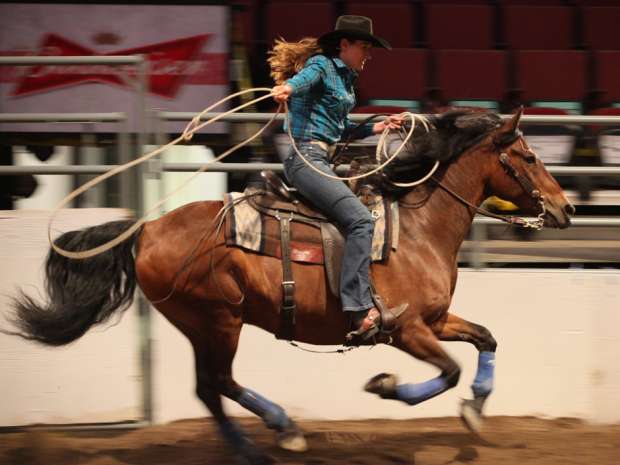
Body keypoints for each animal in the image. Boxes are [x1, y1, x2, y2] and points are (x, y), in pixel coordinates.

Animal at [8, 108, 572, 460]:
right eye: (528, 157)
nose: (565, 208)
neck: (417, 228)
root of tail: (147, 228)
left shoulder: (435, 320)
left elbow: (486, 338)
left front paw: (475, 411)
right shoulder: (405, 328)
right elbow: (448, 371)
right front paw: (385, 386)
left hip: (201, 324)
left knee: (209, 389)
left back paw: (257, 447)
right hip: (220, 319)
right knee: (220, 382)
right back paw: (285, 432)